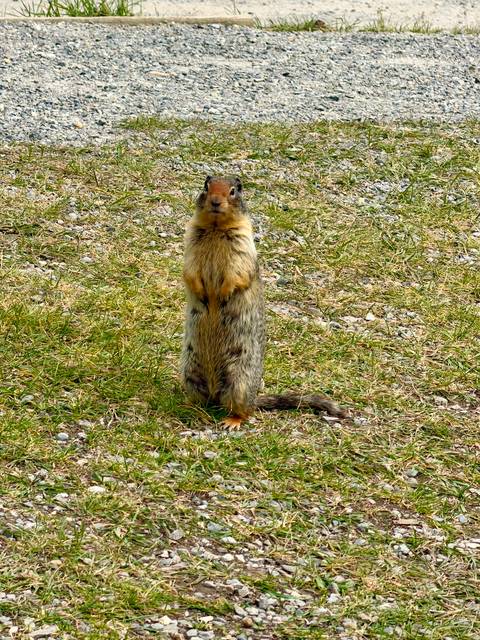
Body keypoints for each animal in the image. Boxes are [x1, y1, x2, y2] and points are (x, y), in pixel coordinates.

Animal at [180, 175, 347, 429]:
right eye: (206, 186)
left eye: (233, 190)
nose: (216, 201)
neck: (216, 228)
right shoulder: (191, 240)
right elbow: (189, 270)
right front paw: (202, 293)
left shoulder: (243, 246)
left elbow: (238, 273)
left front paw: (223, 295)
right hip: (190, 371)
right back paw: (190, 407)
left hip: (240, 379)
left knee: (244, 411)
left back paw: (232, 421)